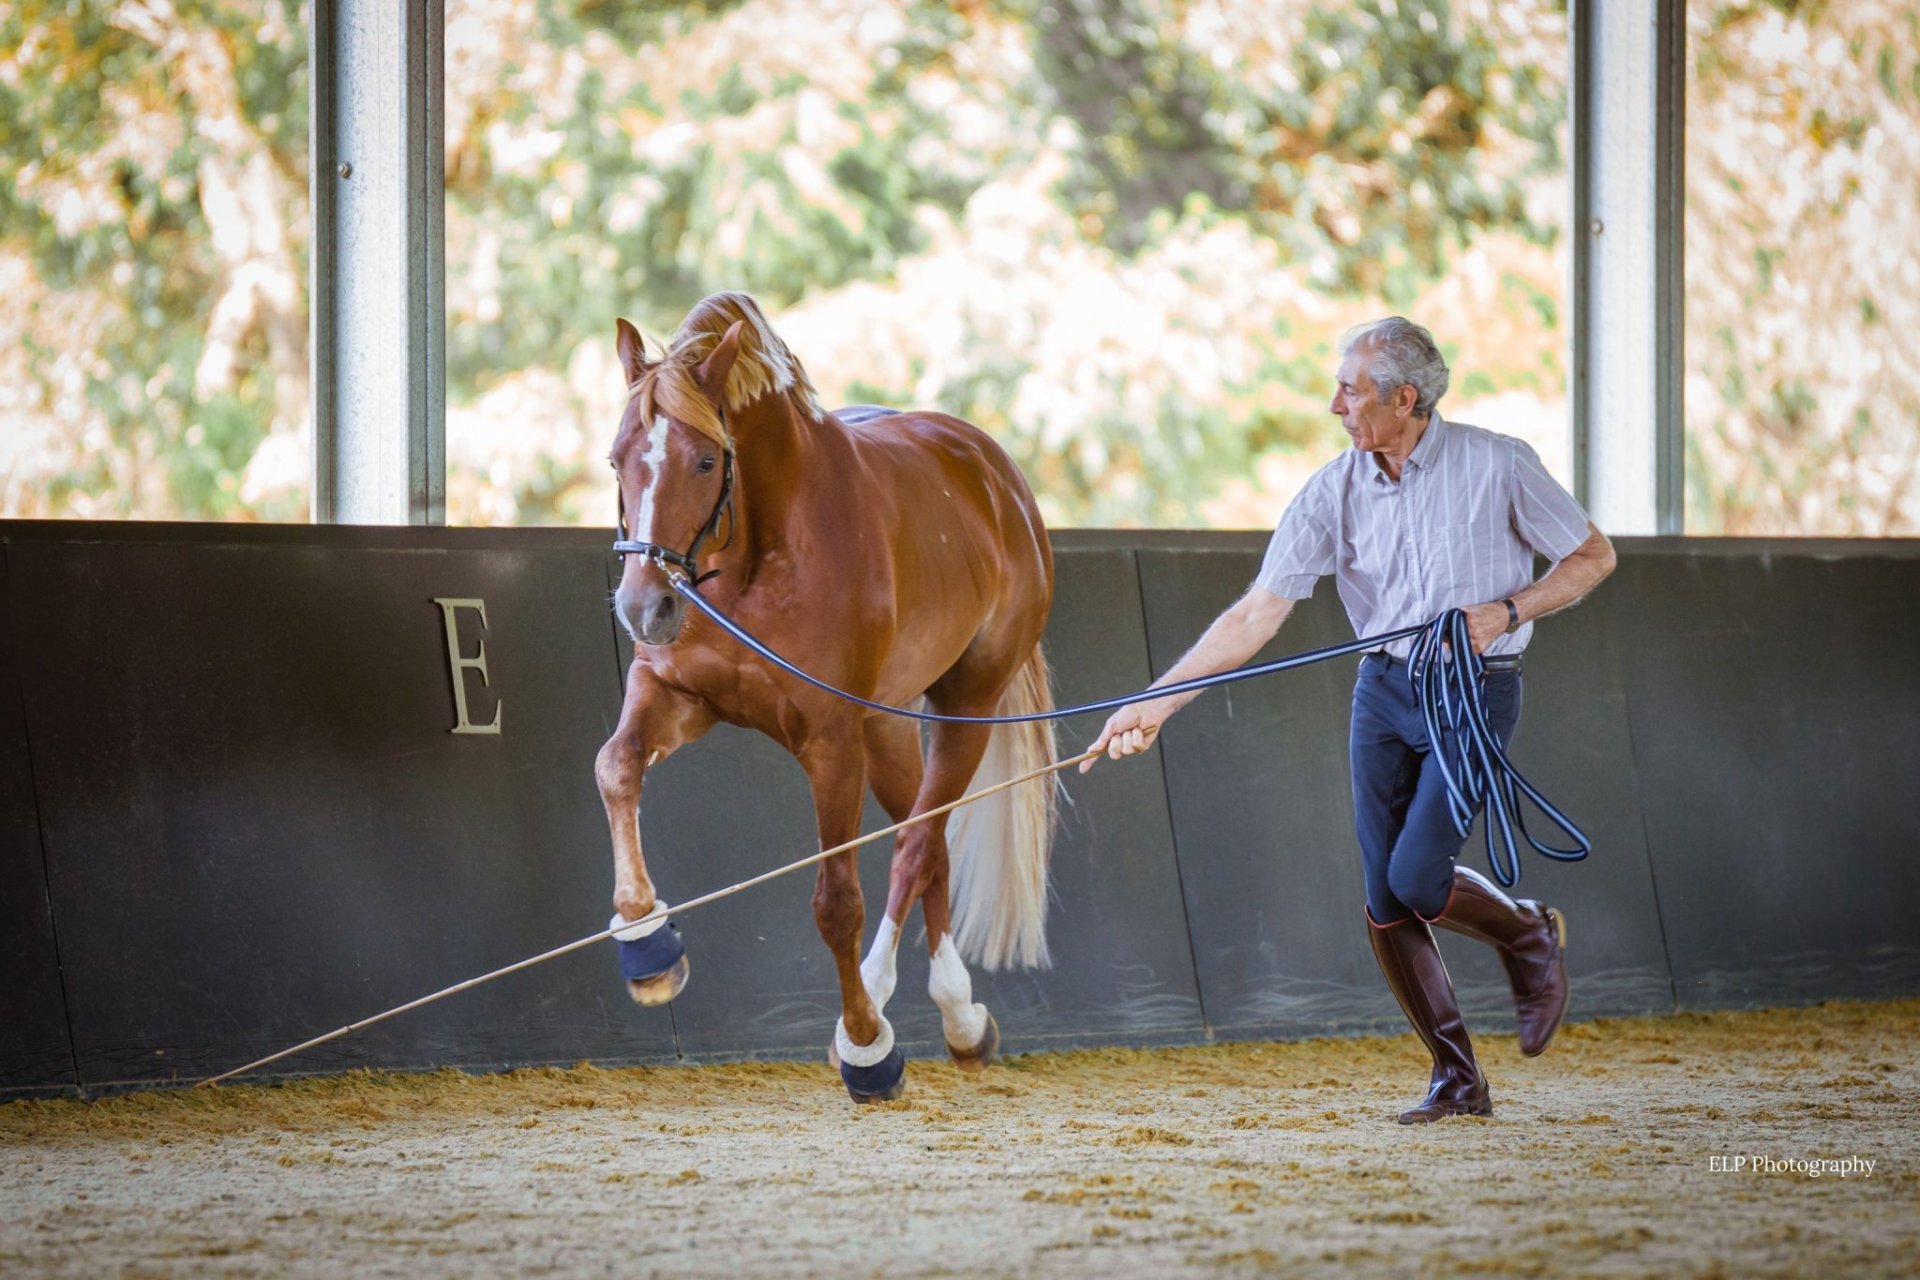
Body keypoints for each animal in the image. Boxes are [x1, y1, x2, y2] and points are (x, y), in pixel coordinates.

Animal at [599, 293, 1059, 1105]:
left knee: (917, 845)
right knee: (929, 845)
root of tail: (995, 474)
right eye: (617, 457)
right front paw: (647, 945)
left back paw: (918, 1010)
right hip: (889, 730)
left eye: (705, 459)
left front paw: (869, 1048)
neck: (754, 556)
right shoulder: (674, 693)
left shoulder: (829, 742)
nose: (642, 606)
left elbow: (837, 901)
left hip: (961, 711)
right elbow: (615, 767)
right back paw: (953, 1017)